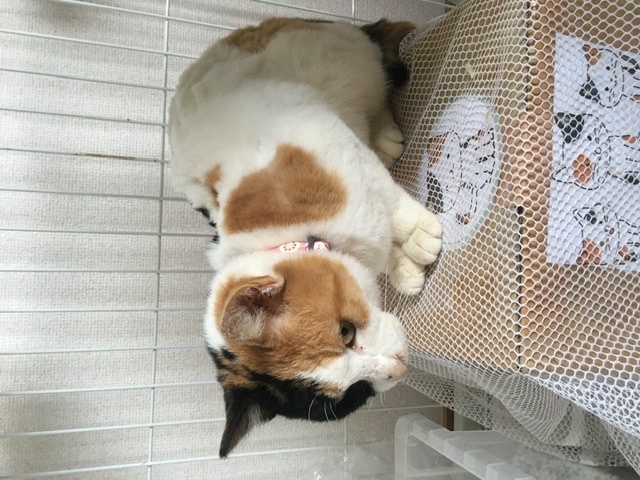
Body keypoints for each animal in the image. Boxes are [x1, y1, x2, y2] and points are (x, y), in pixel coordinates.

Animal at [168, 18, 442, 457]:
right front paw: (403, 267)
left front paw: (417, 236)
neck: (292, 233)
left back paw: (385, 135)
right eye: (354, 394)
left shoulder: (329, 138)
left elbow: (387, 197)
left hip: (348, 65)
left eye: (345, 331)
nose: (399, 368)